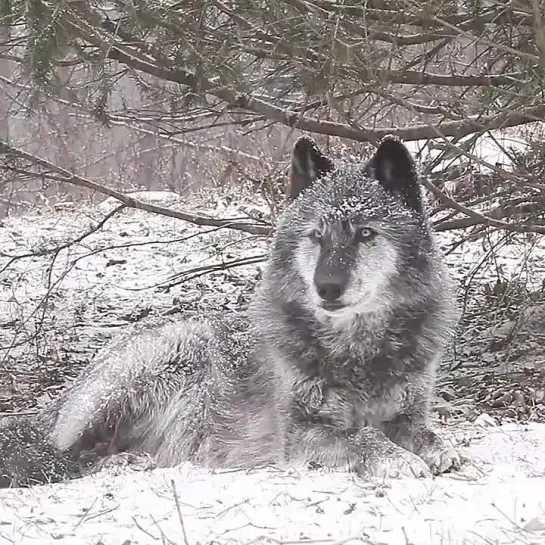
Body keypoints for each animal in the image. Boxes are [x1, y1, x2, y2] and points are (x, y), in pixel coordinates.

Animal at [0, 134, 460, 486]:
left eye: (366, 234)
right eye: (316, 235)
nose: (326, 287)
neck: (358, 352)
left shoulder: (407, 413)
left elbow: (427, 434)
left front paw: (439, 450)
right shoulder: (299, 434)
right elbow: (364, 438)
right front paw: (399, 459)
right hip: (153, 365)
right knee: (63, 453)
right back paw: (123, 463)